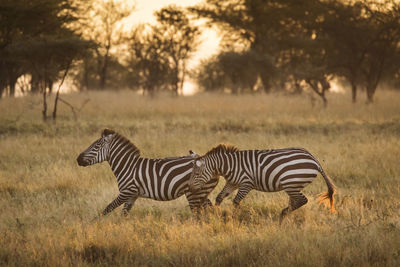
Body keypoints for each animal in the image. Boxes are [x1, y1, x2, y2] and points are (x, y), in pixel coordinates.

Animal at [76, 129, 217, 219]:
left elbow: (107, 208)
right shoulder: (132, 195)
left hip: (193, 193)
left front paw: (94, 224)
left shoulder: (126, 191)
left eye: (96, 146)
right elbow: (123, 215)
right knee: (211, 210)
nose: (78, 159)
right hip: (201, 192)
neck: (127, 166)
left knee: (201, 213)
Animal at [189, 144, 336, 222]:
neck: (229, 166)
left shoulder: (246, 184)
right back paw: (286, 217)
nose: (190, 188)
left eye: (196, 175)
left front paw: (238, 217)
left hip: (290, 183)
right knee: (296, 201)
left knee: (302, 200)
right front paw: (216, 215)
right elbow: (219, 197)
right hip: (294, 185)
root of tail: (313, 159)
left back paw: (283, 214)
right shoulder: (232, 183)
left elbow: (236, 202)